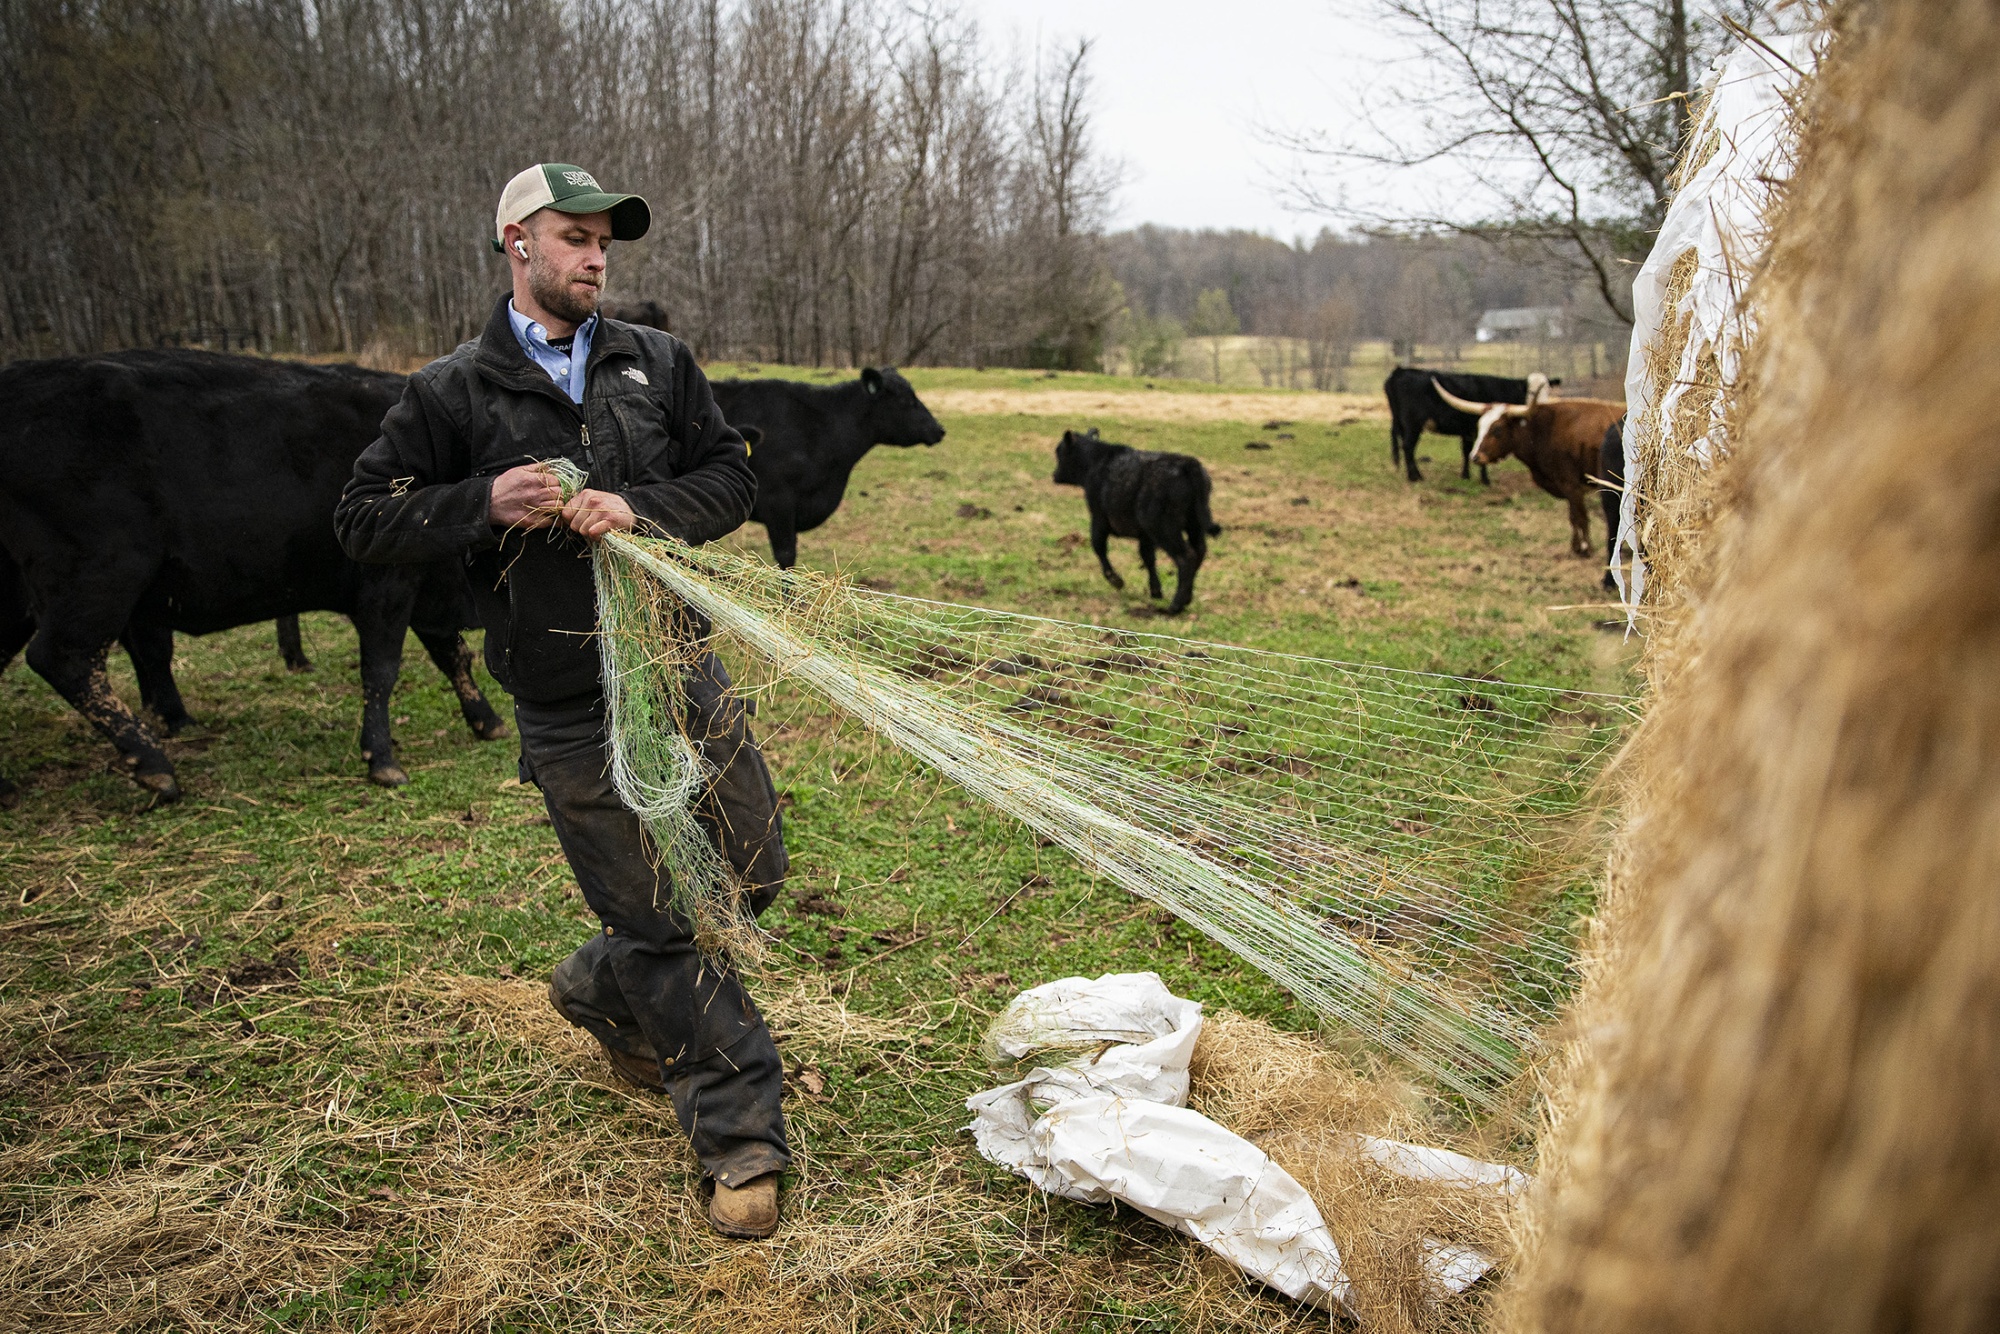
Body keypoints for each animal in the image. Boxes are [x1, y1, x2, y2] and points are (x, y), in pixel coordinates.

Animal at [0, 350, 508, 804]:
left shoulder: (423, 593)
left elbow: (453, 656)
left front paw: (486, 721)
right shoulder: (387, 586)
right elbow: (381, 670)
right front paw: (382, 758)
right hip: (102, 577)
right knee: (63, 658)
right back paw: (155, 766)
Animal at [1048, 428, 1216, 616]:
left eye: (1060, 452)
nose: (1054, 475)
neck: (1096, 461)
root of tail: (1187, 463)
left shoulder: (1099, 519)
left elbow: (1099, 547)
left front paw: (1116, 580)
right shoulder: (1145, 536)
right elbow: (1148, 557)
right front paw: (1155, 591)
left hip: (1163, 529)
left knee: (1186, 557)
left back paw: (1175, 606)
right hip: (1194, 526)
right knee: (1199, 551)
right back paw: (1186, 599)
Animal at [1384, 368, 1552, 482]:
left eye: (1548, 390)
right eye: (1531, 392)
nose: (1542, 407)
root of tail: (1400, 371)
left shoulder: (1468, 431)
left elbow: (1466, 451)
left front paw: (1465, 476)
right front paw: (1485, 480)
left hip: (1400, 423)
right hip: (1412, 425)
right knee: (1408, 447)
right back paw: (1415, 477)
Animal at [1440, 380, 1624, 560]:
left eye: (1497, 428)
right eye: (1480, 426)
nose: (1475, 457)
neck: (1545, 428)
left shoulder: (1571, 484)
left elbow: (1579, 517)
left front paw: (1585, 548)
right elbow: (1573, 517)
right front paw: (1576, 547)